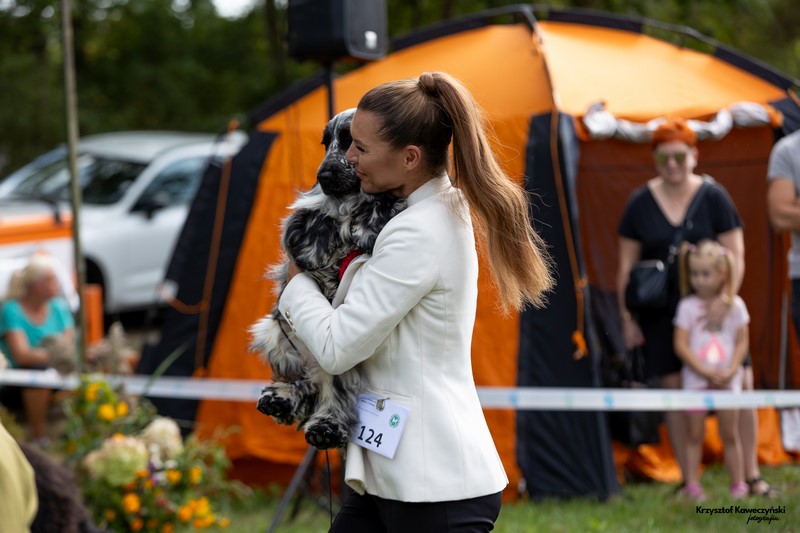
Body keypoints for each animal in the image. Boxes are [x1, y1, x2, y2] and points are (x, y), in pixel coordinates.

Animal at [250, 108, 407, 450]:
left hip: (338, 358)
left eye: (350, 140)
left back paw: (326, 427)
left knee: (331, 391)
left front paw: (368, 225)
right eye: (326, 142)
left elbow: (380, 204)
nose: (324, 175)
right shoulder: (305, 210)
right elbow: (311, 219)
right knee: (302, 383)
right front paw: (316, 250)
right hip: (275, 333)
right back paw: (279, 399)